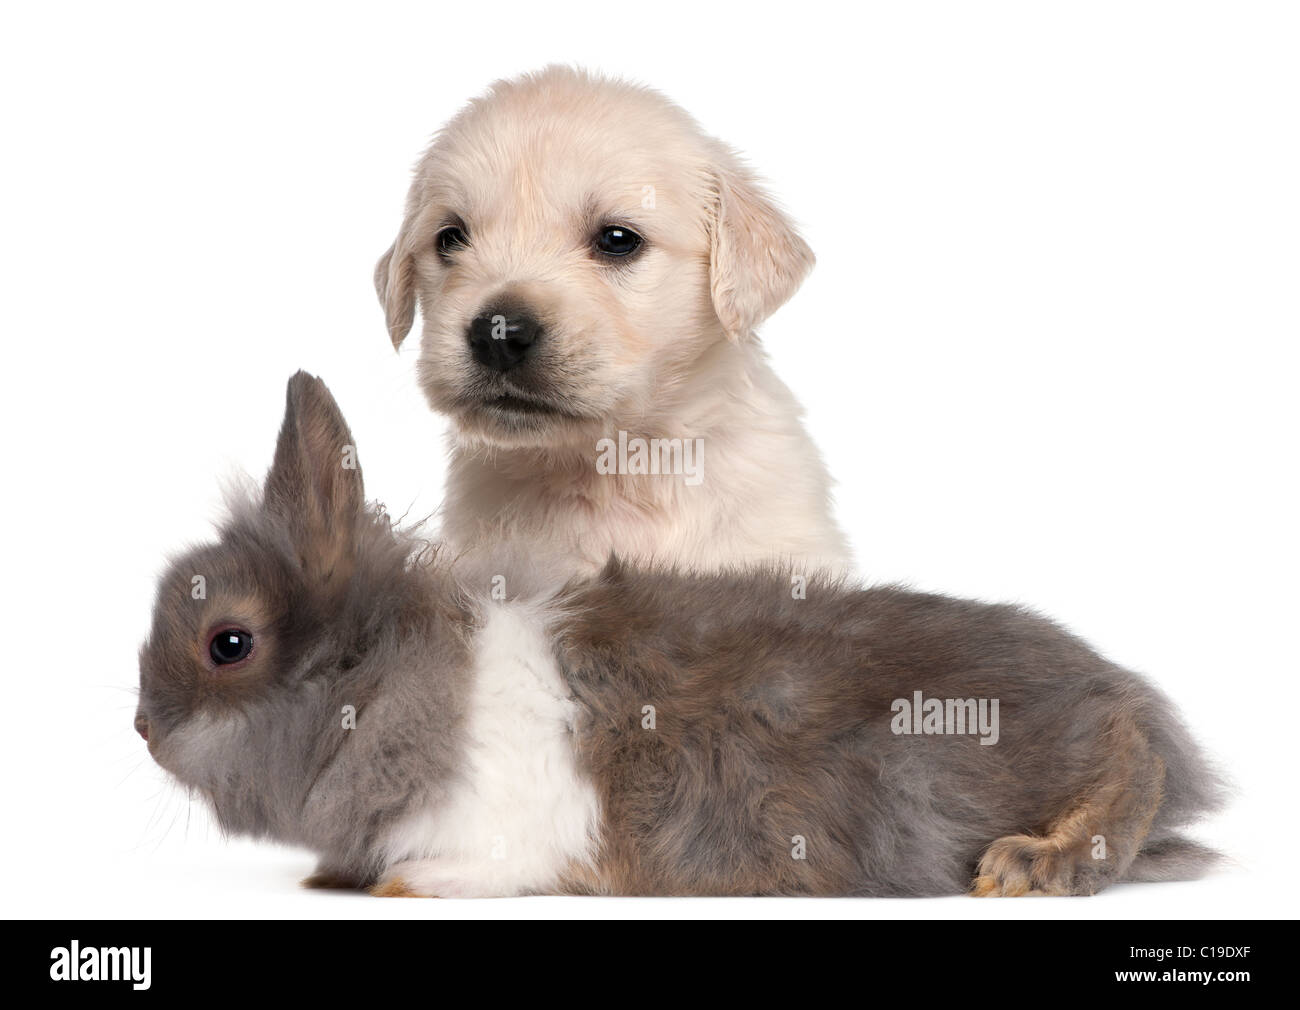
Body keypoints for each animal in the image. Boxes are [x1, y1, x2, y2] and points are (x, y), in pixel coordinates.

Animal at [137, 374, 1222, 894]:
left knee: (1129, 760)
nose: (144, 729)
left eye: (227, 642)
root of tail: (1112, 682)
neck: (385, 677)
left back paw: (1035, 865)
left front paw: (406, 885)